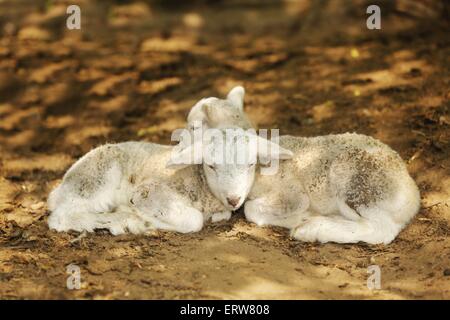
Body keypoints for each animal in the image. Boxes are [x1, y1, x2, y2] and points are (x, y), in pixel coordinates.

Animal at [185, 86, 420, 244]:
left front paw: (300, 218)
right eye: (211, 166)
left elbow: (251, 210)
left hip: (359, 184)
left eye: (194, 127)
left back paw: (313, 229)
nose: (232, 200)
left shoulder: (292, 195)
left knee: (381, 230)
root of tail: (411, 192)